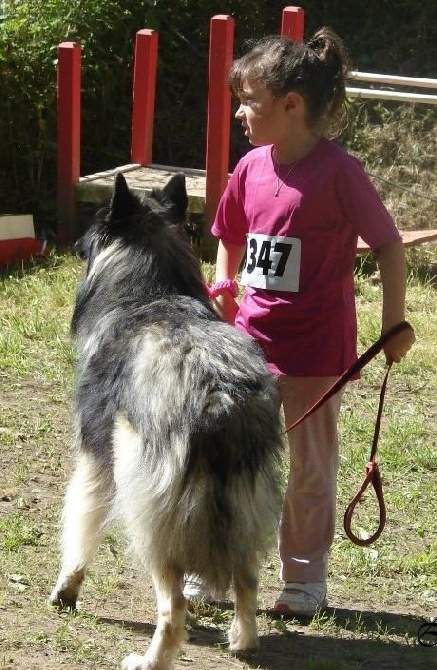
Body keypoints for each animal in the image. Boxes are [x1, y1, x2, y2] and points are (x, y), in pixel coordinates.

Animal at [50, 175, 282, 670]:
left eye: (92, 229)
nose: (75, 247)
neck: (152, 293)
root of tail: (219, 396)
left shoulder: (96, 459)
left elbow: (81, 524)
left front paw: (66, 590)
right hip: (246, 506)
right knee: (247, 580)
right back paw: (243, 641)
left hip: (149, 517)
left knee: (172, 608)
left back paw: (148, 660)